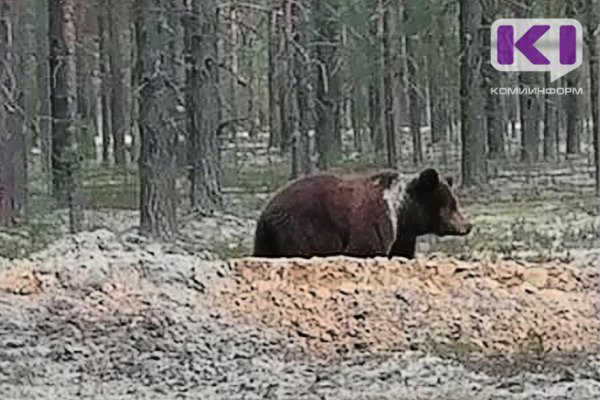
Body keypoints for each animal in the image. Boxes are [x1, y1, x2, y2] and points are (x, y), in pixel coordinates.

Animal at [251, 166, 472, 258]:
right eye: (452, 204)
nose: (467, 226)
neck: (403, 213)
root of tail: (266, 213)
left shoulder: (402, 236)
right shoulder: (375, 222)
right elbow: (365, 248)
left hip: (266, 240)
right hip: (300, 229)